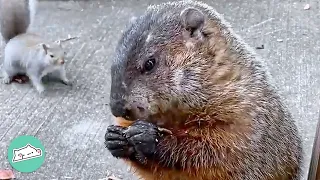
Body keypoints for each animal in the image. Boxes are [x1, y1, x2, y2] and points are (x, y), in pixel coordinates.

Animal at [105, 0, 302, 179]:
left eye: (149, 64)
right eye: (113, 64)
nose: (117, 109)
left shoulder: (241, 107)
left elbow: (217, 144)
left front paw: (146, 136)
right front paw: (114, 137)